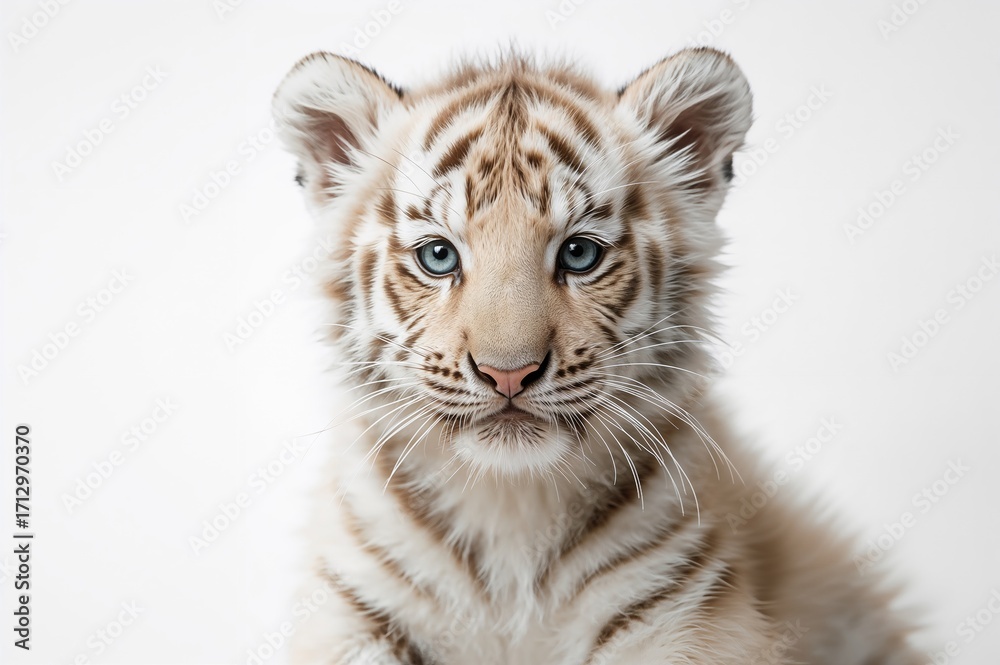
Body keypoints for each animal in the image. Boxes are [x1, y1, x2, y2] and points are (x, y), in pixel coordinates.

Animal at [272, 47, 921, 664]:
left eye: (579, 254)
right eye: (438, 256)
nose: (509, 372)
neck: (511, 508)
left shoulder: (677, 610)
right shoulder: (355, 613)